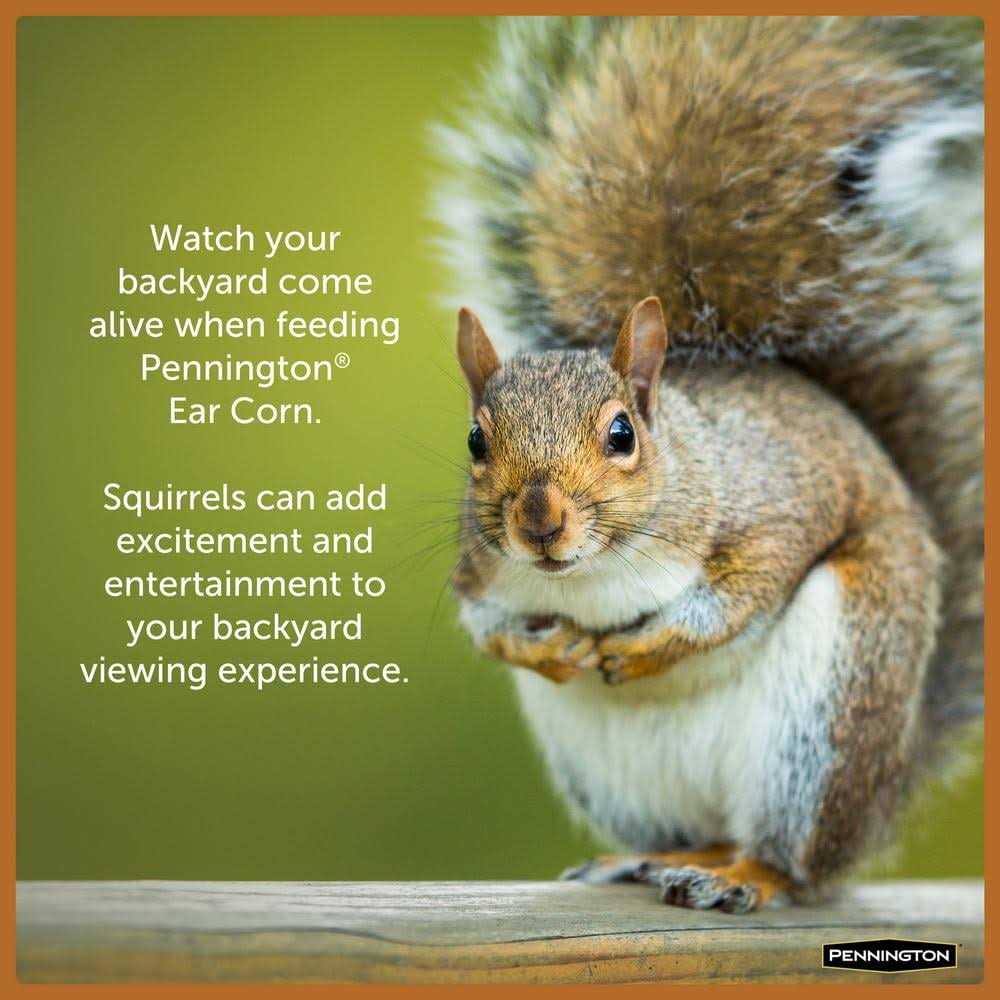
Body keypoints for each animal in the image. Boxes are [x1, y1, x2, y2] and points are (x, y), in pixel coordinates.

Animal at [439, 16, 983, 912]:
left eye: (622, 435)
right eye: (477, 443)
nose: (539, 522)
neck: (590, 577)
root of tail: (890, 786)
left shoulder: (774, 505)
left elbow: (741, 593)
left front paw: (645, 648)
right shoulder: (479, 572)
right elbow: (486, 628)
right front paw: (547, 651)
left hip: (826, 716)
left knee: (794, 860)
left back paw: (744, 876)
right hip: (612, 776)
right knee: (696, 831)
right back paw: (654, 859)